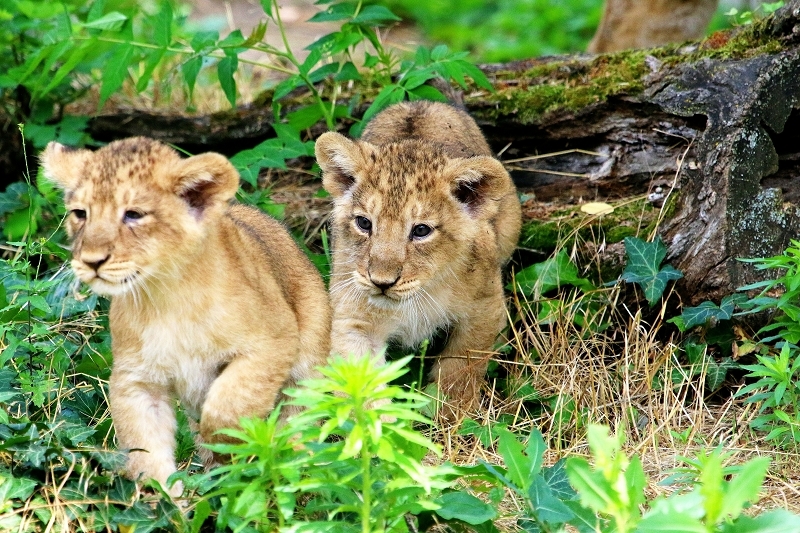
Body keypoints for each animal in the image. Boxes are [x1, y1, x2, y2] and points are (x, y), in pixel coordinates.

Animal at [41, 137, 331, 495]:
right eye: (81, 213)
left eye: (133, 214)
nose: (92, 261)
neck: (165, 296)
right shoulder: (137, 380)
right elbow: (144, 451)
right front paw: (164, 500)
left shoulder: (273, 342)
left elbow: (227, 407)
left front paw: (231, 446)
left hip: (308, 361)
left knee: (299, 416)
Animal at [315, 100, 521, 420]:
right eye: (364, 223)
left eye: (421, 231)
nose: (381, 282)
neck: (420, 293)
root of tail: (418, 102)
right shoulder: (352, 319)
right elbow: (363, 385)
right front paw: (383, 428)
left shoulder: (485, 307)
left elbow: (462, 365)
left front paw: (452, 415)